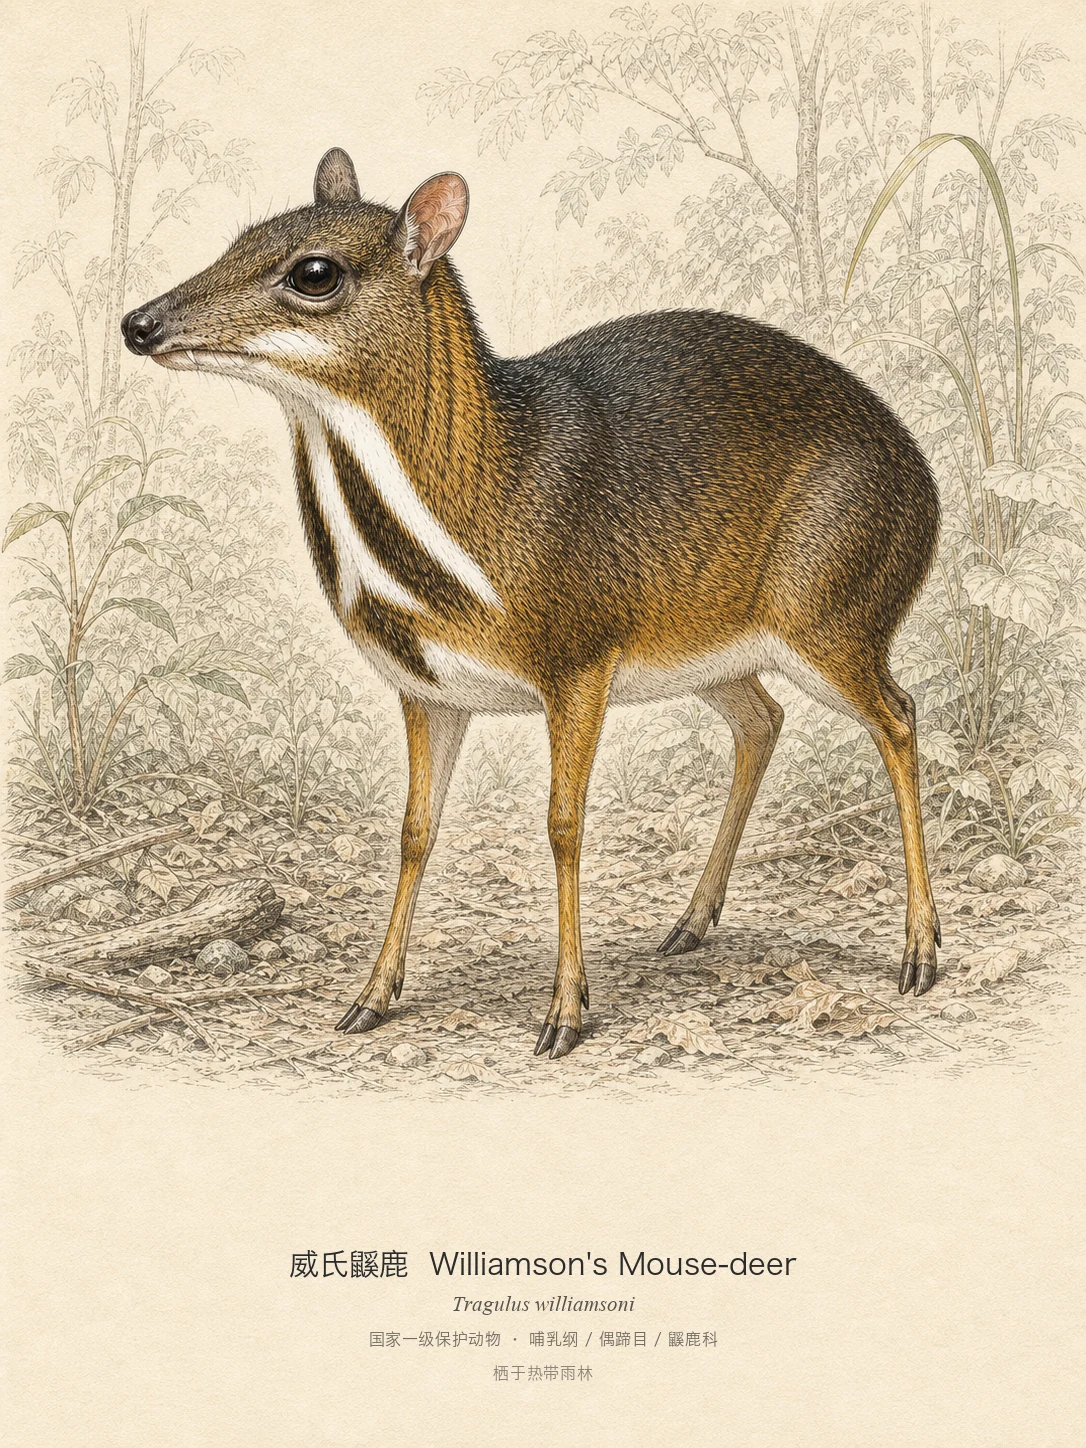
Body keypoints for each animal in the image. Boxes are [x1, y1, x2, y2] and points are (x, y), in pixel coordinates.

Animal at [122, 148, 942, 1060]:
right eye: (240, 239)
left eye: (314, 273)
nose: (140, 324)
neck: (475, 510)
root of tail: (926, 482)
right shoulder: (425, 689)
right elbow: (414, 831)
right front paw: (371, 997)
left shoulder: (578, 661)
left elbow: (562, 824)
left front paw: (566, 1012)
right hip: (712, 648)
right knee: (763, 722)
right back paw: (691, 922)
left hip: (832, 616)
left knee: (898, 716)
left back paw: (920, 953)